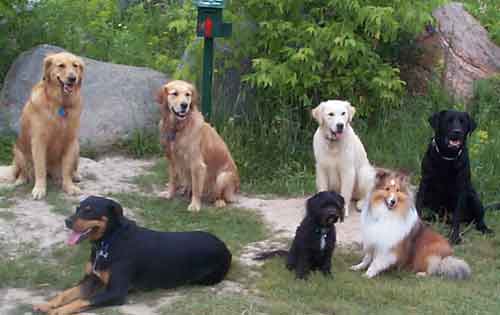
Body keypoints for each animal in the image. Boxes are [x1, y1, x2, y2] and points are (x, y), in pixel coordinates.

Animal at [0, 51, 84, 200]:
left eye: (75, 66)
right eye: (61, 65)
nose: (72, 78)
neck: (60, 103)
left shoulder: (70, 141)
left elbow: (66, 169)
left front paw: (69, 187)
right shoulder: (39, 141)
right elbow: (40, 168)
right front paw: (39, 189)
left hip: (76, 147)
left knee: (70, 169)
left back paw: (75, 176)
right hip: (19, 151)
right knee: (24, 172)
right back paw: (21, 180)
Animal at [32, 196, 231, 314]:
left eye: (89, 210)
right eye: (77, 208)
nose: (67, 221)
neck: (108, 241)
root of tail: (224, 246)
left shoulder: (116, 291)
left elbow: (82, 300)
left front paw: (57, 311)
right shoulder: (91, 279)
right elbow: (66, 293)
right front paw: (47, 304)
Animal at [157, 79, 241, 212]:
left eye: (188, 94)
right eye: (174, 93)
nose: (184, 105)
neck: (178, 128)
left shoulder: (197, 164)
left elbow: (197, 188)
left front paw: (195, 205)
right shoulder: (172, 160)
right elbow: (172, 180)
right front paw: (169, 194)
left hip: (222, 177)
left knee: (220, 196)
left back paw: (219, 202)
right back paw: (184, 190)